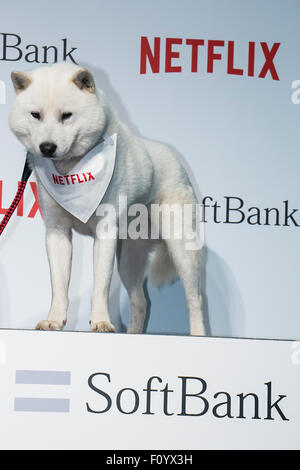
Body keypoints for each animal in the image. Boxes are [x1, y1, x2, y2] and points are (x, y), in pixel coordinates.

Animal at [9, 62, 206, 336]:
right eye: (35, 115)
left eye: (66, 115)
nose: (46, 147)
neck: (71, 170)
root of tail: (177, 161)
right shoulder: (57, 231)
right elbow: (58, 286)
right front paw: (53, 321)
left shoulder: (104, 232)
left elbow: (100, 285)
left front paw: (101, 322)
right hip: (130, 260)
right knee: (140, 302)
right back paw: (133, 335)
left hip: (180, 248)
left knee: (194, 297)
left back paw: (199, 335)